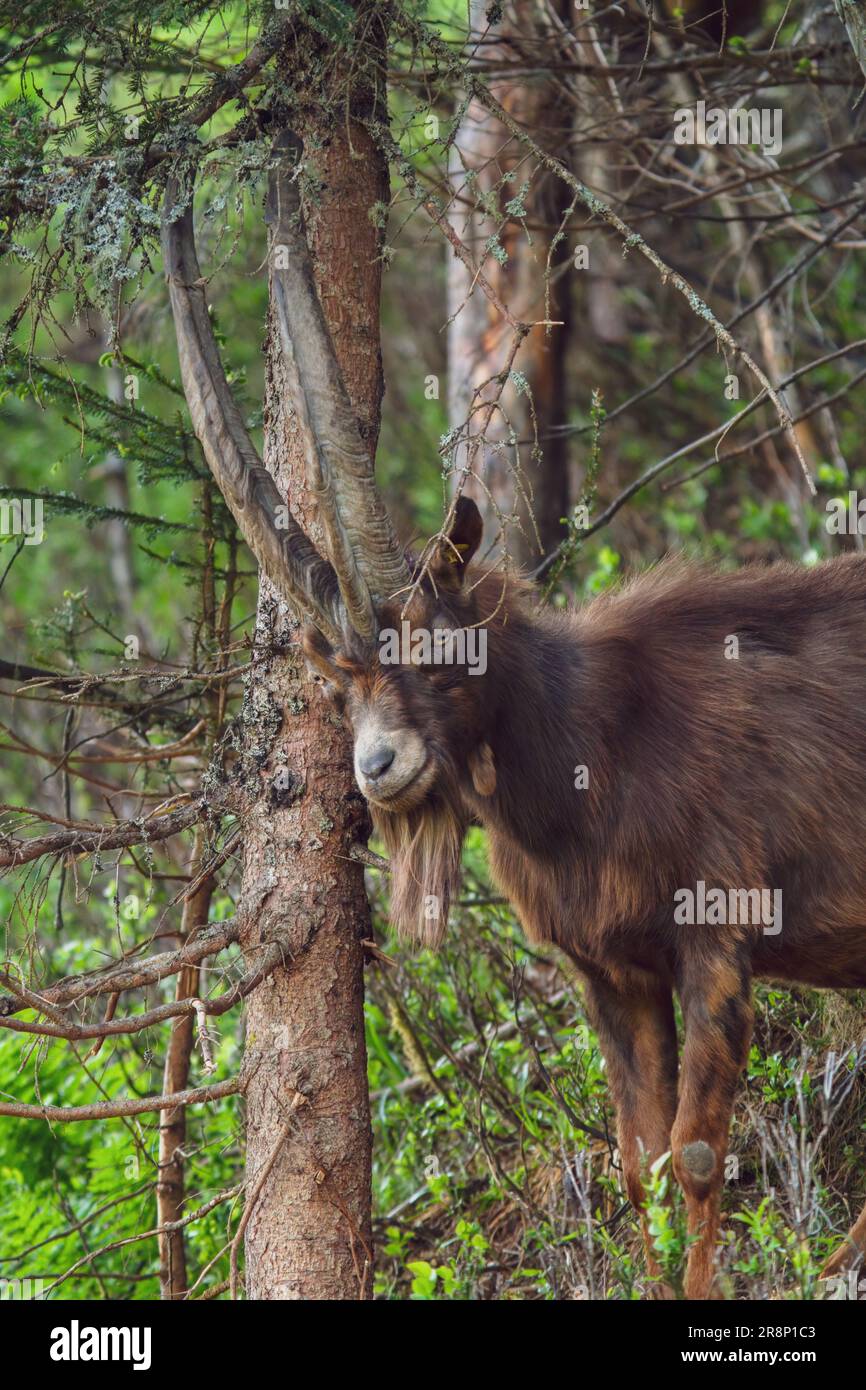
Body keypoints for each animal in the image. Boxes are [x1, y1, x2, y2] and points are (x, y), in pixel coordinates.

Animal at [303, 500, 866, 1301]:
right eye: (337, 681)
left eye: (438, 640)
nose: (378, 768)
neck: (591, 756)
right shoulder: (609, 969)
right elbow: (641, 1166)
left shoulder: (719, 934)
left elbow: (696, 1154)